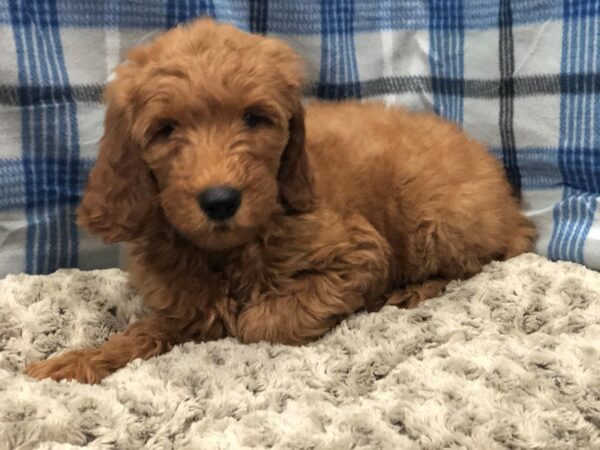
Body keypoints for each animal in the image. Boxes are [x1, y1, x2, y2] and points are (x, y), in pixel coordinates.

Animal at [25, 17, 536, 384]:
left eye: (254, 118)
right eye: (165, 130)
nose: (219, 201)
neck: (229, 249)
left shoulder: (358, 252)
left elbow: (256, 322)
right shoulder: (183, 303)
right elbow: (152, 329)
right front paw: (78, 361)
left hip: (437, 218)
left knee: (474, 263)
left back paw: (409, 291)